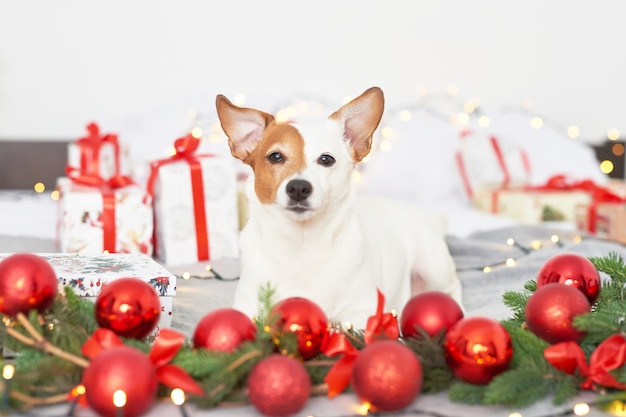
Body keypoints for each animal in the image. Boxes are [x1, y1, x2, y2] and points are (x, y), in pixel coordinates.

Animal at [214, 88, 458, 328]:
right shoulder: (247, 307)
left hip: (433, 268)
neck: (301, 246)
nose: (298, 188)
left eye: (326, 159)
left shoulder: (364, 311)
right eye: (275, 157)